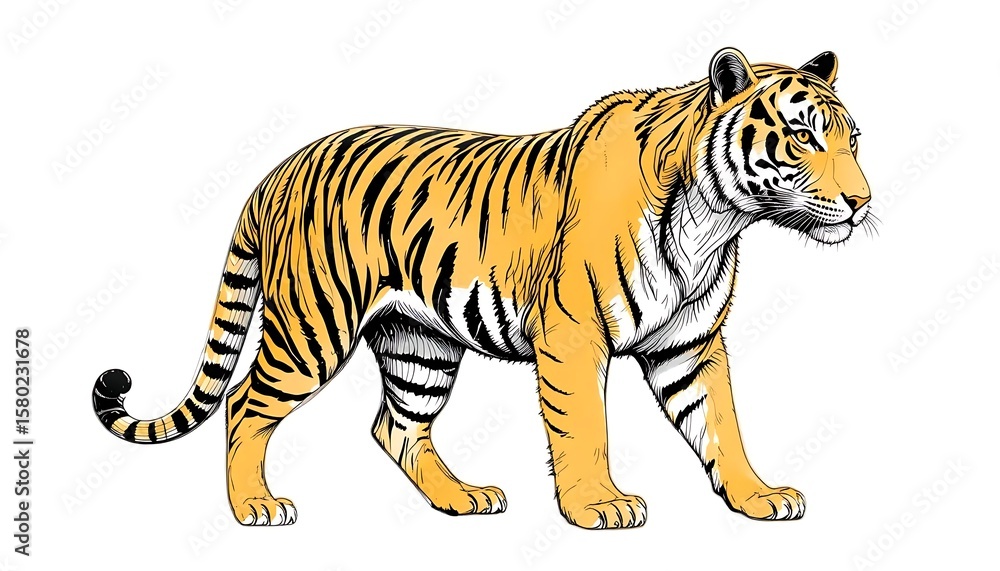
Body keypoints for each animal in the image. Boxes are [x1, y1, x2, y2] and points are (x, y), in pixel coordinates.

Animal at [92, 47, 871, 529]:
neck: (715, 218)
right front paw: (598, 506)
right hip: (314, 326)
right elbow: (585, 427)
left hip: (419, 345)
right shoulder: (572, 335)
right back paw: (255, 505)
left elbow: (722, 424)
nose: (863, 202)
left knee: (396, 426)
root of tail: (276, 172)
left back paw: (462, 498)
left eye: (852, 139)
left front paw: (759, 497)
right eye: (804, 137)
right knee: (245, 402)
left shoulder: (690, 345)